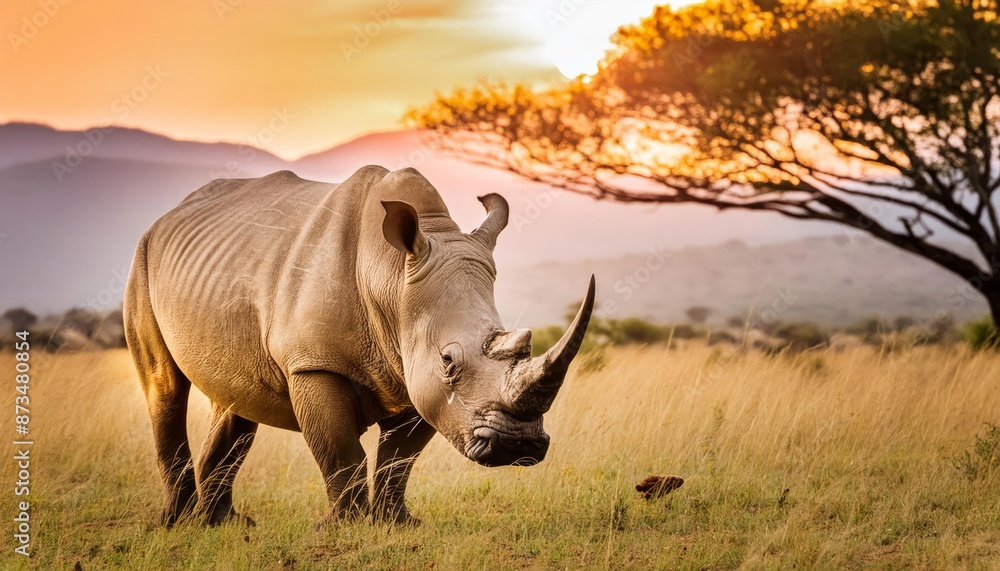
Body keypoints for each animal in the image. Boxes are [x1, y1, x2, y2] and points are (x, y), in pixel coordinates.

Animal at [123, 166, 594, 527]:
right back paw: (175, 524)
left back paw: (223, 524)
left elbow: (398, 459)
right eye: (448, 361)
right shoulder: (315, 363)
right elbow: (340, 451)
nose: (518, 445)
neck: (390, 274)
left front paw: (396, 524)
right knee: (165, 387)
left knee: (236, 400)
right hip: (141, 260)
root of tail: (166, 217)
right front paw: (342, 528)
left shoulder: (414, 373)